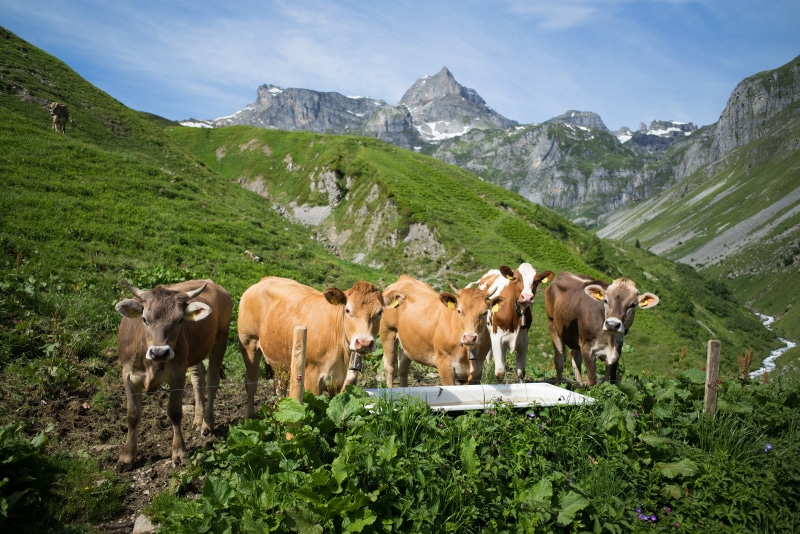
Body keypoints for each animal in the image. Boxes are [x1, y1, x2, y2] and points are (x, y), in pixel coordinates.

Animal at [114, 280, 232, 470]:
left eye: (179, 320)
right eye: (144, 319)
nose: (159, 352)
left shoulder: (177, 374)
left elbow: (174, 412)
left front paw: (178, 452)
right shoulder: (127, 375)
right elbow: (133, 415)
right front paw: (127, 456)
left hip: (221, 339)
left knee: (212, 380)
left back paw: (207, 423)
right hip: (195, 352)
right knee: (197, 377)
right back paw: (198, 419)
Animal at [237, 277, 384, 416]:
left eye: (380, 312)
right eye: (348, 310)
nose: (364, 342)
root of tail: (264, 280)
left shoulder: (346, 381)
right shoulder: (312, 378)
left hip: (279, 359)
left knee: (279, 385)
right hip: (249, 343)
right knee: (251, 382)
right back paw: (250, 415)